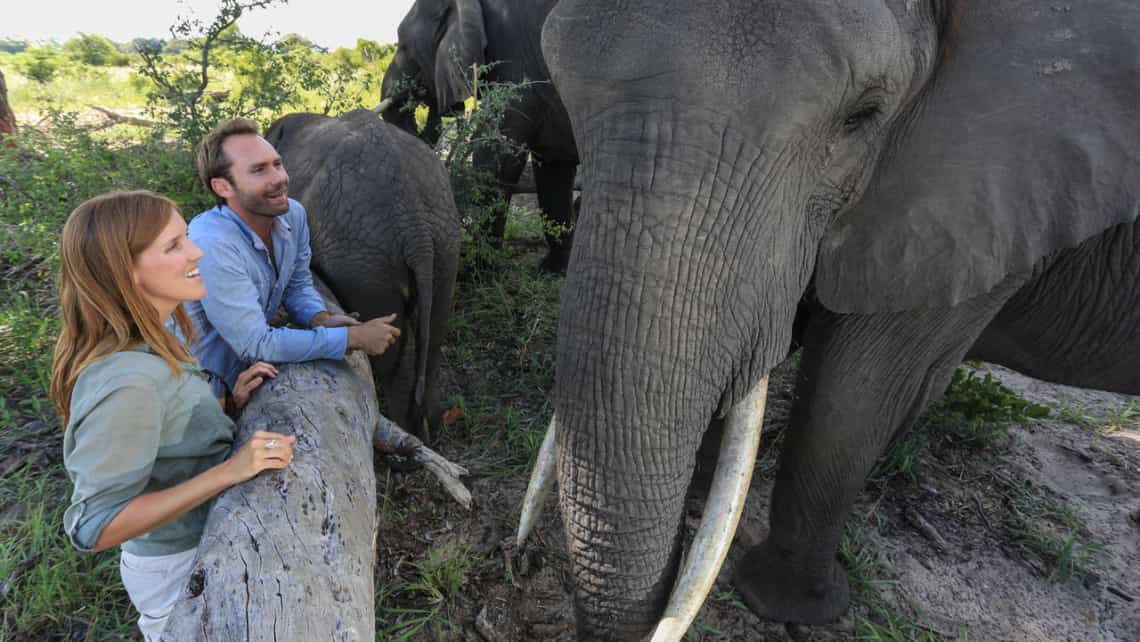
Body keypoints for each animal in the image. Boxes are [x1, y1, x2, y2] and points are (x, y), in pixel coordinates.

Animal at [264, 109, 460, 442]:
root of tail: (415, 225)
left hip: (363, 261)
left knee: (391, 350)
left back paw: (404, 431)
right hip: (442, 240)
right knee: (434, 332)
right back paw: (431, 429)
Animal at [380, 0, 579, 273]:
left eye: (403, 45)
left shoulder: (516, 66)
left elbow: (495, 157)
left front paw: (479, 268)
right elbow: (555, 166)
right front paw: (551, 270)